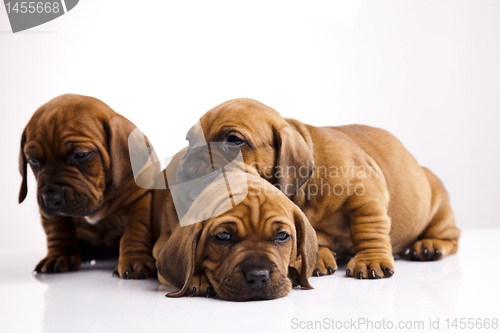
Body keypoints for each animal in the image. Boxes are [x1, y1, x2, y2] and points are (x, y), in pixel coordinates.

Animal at [20, 93, 158, 278]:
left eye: (81, 155)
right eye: (33, 161)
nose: (50, 198)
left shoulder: (140, 200)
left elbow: (136, 231)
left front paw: (135, 260)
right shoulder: (52, 211)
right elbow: (58, 229)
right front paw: (59, 256)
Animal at [179, 98, 460, 278]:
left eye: (234, 140)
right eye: (189, 140)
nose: (183, 171)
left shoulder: (367, 194)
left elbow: (369, 228)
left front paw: (371, 259)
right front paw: (316, 257)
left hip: (438, 210)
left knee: (452, 237)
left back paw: (429, 245)